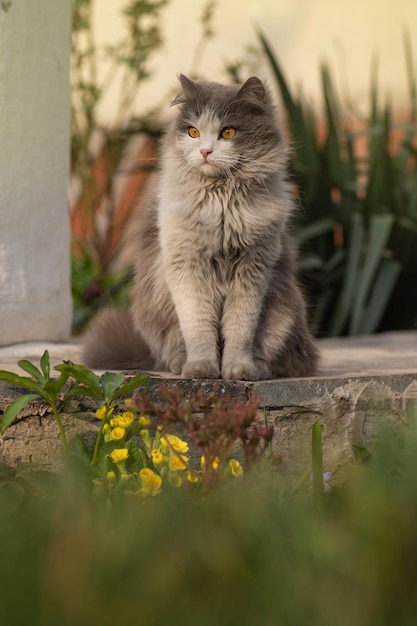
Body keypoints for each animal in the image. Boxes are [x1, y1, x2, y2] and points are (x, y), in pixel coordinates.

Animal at [82, 71, 318, 378]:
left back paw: (260, 369)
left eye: (228, 132)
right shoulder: (187, 268)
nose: (205, 151)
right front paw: (202, 368)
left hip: (284, 312)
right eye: (193, 132)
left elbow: (240, 330)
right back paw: (181, 364)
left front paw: (238, 370)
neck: (221, 206)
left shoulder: (252, 270)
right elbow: (199, 328)